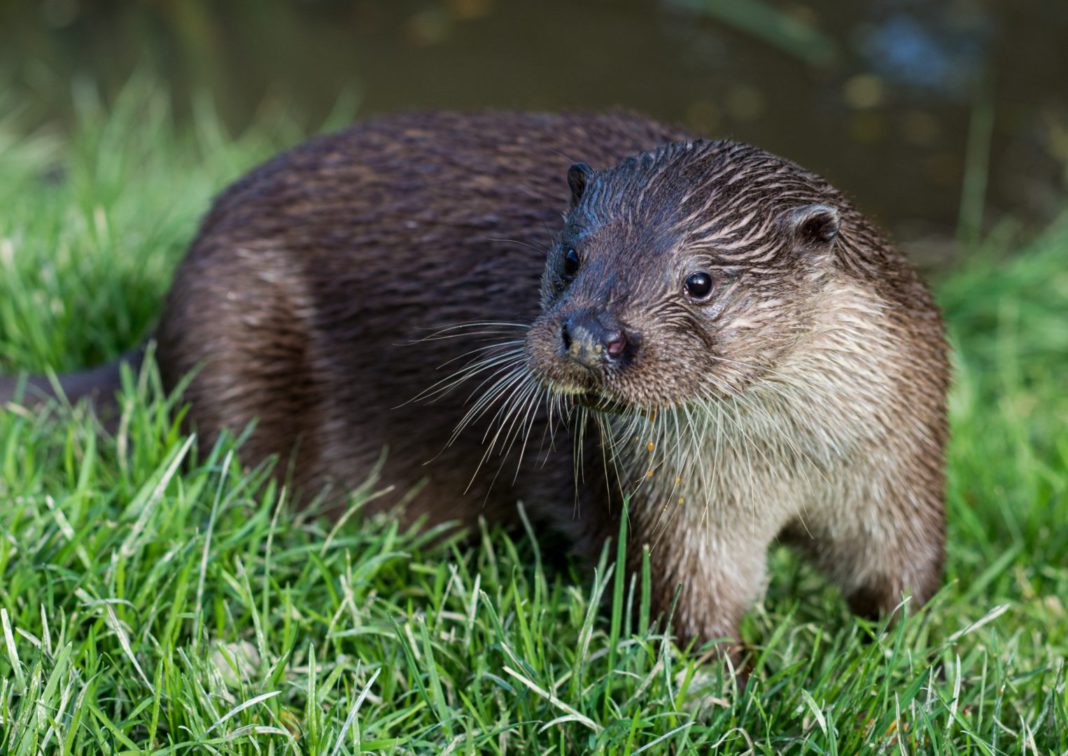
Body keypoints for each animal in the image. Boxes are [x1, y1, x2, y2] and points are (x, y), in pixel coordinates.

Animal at [1, 111, 949, 651]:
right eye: (572, 258)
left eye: (700, 281)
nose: (589, 332)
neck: (789, 462)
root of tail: (160, 324)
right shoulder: (675, 510)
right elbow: (692, 609)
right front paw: (731, 691)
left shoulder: (898, 469)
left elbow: (903, 574)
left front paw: (909, 660)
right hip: (232, 326)